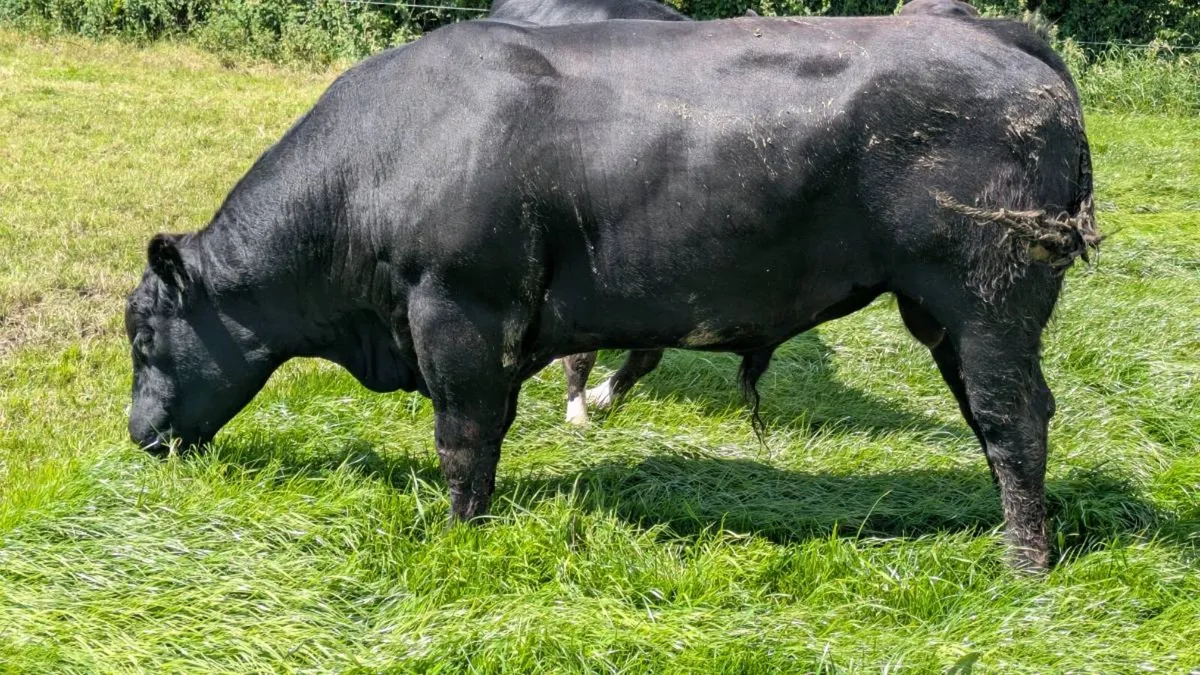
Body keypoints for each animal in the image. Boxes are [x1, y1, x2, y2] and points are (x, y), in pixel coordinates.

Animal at [125, 16, 1098, 570]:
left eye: (140, 335)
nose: (137, 435)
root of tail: (997, 34)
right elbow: (491, 432)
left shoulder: (457, 312)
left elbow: (462, 440)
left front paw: (458, 536)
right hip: (946, 311)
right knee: (992, 414)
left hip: (985, 293)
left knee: (1013, 414)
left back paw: (1023, 559)